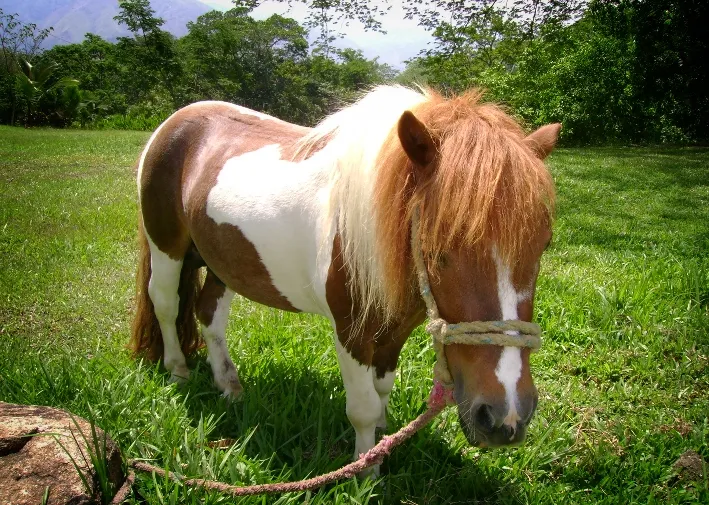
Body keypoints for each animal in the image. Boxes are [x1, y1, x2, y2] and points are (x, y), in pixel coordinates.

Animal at [130, 85, 559, 475]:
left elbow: (382, 389)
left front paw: (383, 443)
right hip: (166, 247)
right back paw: (178, 371)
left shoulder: (396, 329)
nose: (507, 417)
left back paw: (229, 385)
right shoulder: (351, 331)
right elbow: (363, 407)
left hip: (223, 261)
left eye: (544, 245)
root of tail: (176, 120)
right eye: (439, 249)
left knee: (209, 316)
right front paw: (364, 471)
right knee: (165, 303)